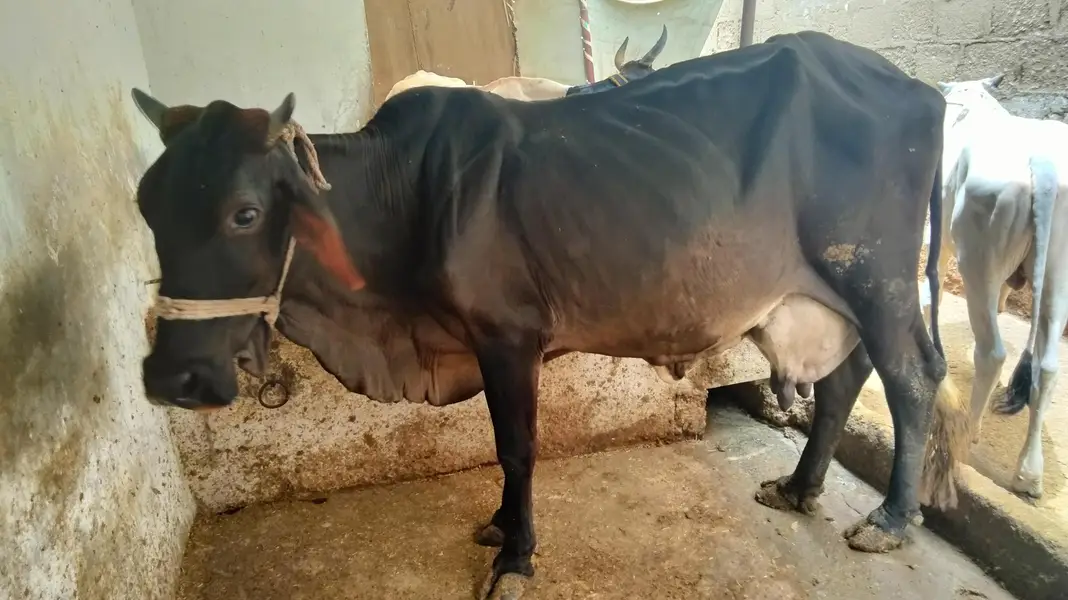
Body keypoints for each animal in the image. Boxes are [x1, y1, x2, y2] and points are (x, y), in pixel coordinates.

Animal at [131, 30, 967, 600]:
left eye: (245, 212)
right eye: (145, 203)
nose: (172, 375)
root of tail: (922, 89)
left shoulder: (509, 336)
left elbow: (517, 448)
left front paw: (515, 557)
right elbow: (505, 449)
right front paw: (503, 528)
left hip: (876, 275)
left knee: (911, 376)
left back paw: (890, 519)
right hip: (827, 290)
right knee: (847, 378)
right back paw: (798, 488)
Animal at [919, 74, 1068, 499]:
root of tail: (1043, 163)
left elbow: (930, 286)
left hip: (978, 260)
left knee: (992, 353)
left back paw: (966, 433)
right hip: (1059, 271)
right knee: (1047, 366)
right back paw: (1029, 474)